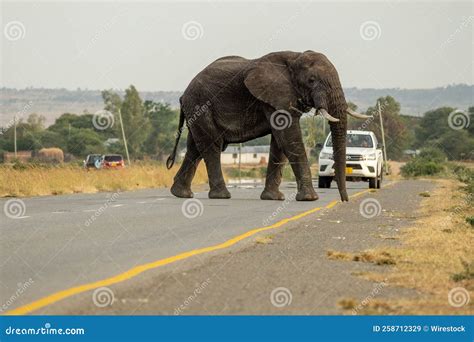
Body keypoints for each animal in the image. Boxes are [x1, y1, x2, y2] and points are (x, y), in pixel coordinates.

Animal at [167, 49, 370, 202]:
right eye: (311, 80)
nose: (344, 200)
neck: (295, 57)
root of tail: (183, 95)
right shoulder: (273, 96)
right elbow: (288, 138)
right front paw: (310, 198)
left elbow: (279, 143)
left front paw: (273, 198)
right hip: (201, 105)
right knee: (212, 146)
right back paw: (221, 196)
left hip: (198, 110)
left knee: (195, 148)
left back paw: (181, 193)